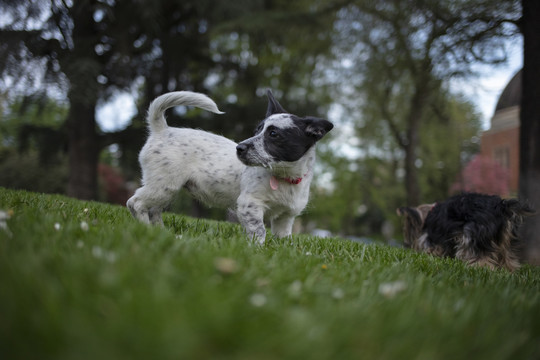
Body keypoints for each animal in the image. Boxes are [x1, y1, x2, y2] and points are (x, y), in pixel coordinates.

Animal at [129, 89, 336, 245]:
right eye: (257, 130)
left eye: (273, 134)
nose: (240, 148)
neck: (283, 177)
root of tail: (162, 130)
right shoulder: (249, 204)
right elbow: (259, 230)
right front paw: (257, 250)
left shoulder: (285, 217)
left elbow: (284, 239)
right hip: (163, 185)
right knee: (135, 203)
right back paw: (145, 230)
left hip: (166, 189)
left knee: (154, 210)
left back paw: (161, 233)